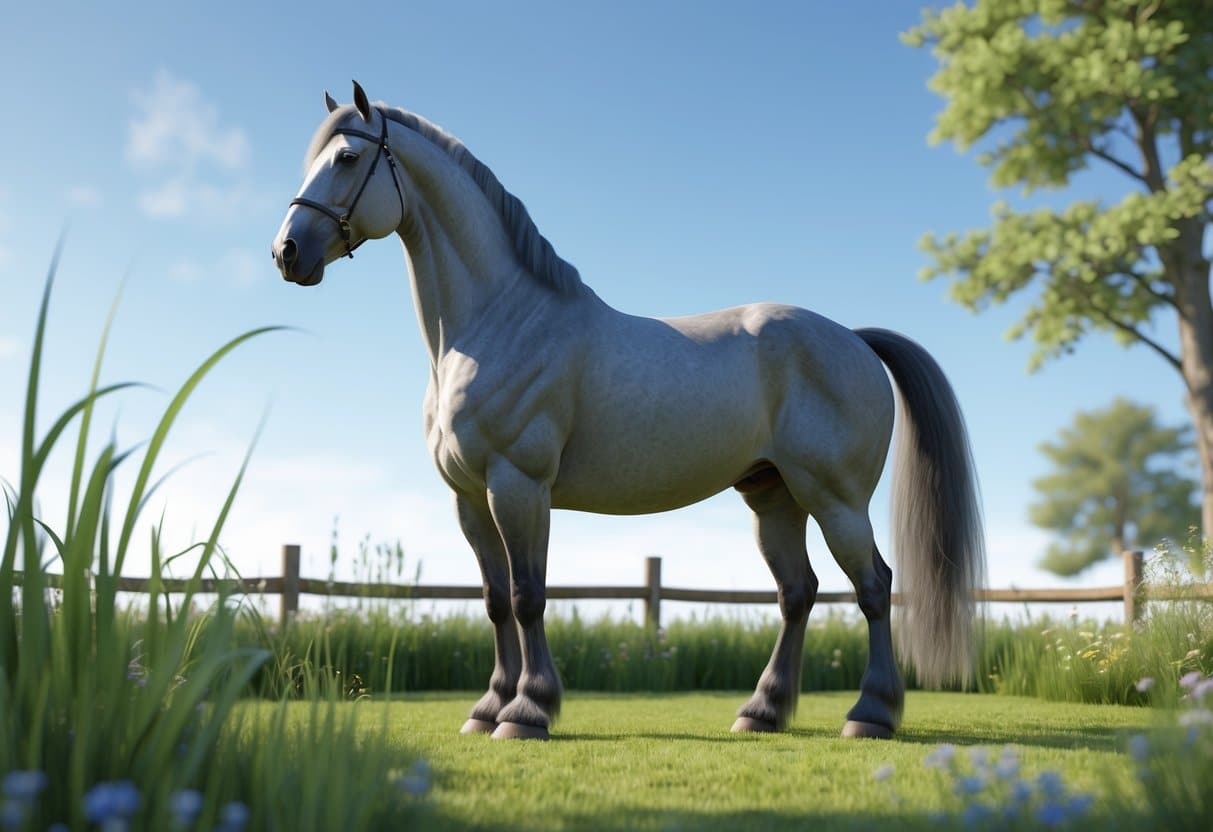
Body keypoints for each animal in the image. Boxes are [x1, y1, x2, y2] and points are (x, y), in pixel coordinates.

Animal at [272, 82, 986, 741]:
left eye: (346, 157)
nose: (287, 253)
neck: (498, 323)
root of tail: (855, 339)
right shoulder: (470, 499)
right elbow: (496, 601)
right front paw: (487, 708)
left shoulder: (518, 486)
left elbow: (529, 597)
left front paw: (528, 711)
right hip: (773, 496)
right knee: (798, 593)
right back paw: (761, 711)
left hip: (834, 498)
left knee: (874, 587)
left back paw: (871, 713)